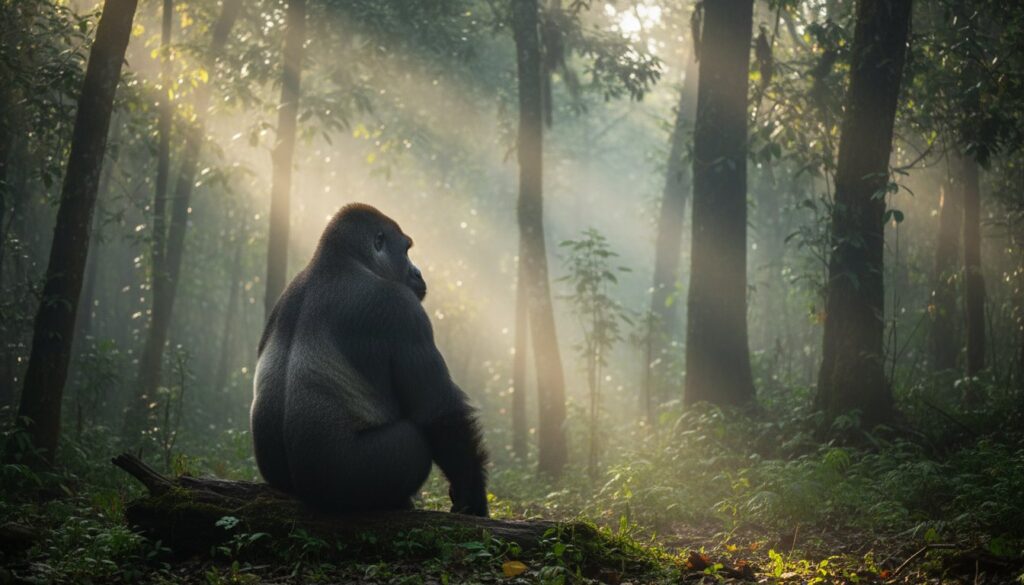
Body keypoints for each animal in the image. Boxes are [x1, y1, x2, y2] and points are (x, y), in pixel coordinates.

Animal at [251, 203, 488, 516]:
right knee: (415, 440)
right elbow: (438, 411)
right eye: (406, 250)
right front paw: (471, 495)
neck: (340, 260)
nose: (418, 272)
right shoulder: (403, 309)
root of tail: (297, 490)